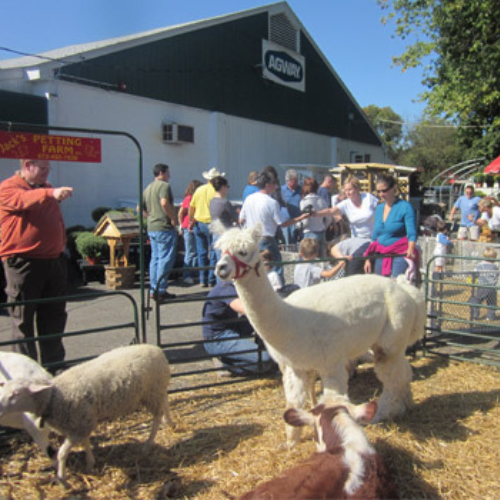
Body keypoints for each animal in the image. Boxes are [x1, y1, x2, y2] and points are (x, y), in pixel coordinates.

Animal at [0, 346, 173, 482]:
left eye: (16, 394)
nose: (0, 407)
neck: (55, 396)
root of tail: (157, 350)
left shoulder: (79, 424)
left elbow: (61, 453)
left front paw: (61, 477)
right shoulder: (81, 423)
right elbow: (85, 443)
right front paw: (90, 463)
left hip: (152, 392)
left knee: (156, 418)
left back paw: (148, 444)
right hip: (156, 391)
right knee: (165, 401)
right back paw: (169, 422)